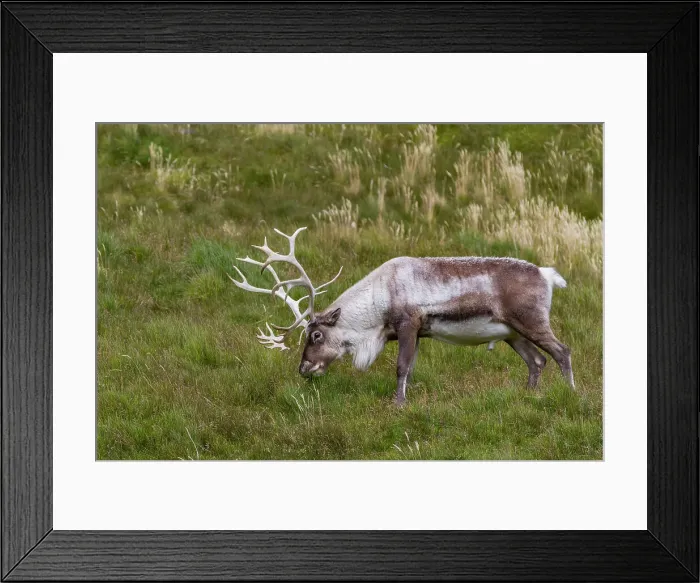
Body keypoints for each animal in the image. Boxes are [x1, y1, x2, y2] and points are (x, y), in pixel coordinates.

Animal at [230, 227, 574, 406]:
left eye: (316, 334)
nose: (303, 369)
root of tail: (548, 275)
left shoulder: (409, 323)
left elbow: (401, 367)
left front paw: (398, 404)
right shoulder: (418, 332)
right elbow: (410, 369)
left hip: (531, 321)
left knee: (562, 351)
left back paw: (571, 393)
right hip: (511, 333)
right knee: (537, 361)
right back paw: (528, 396)